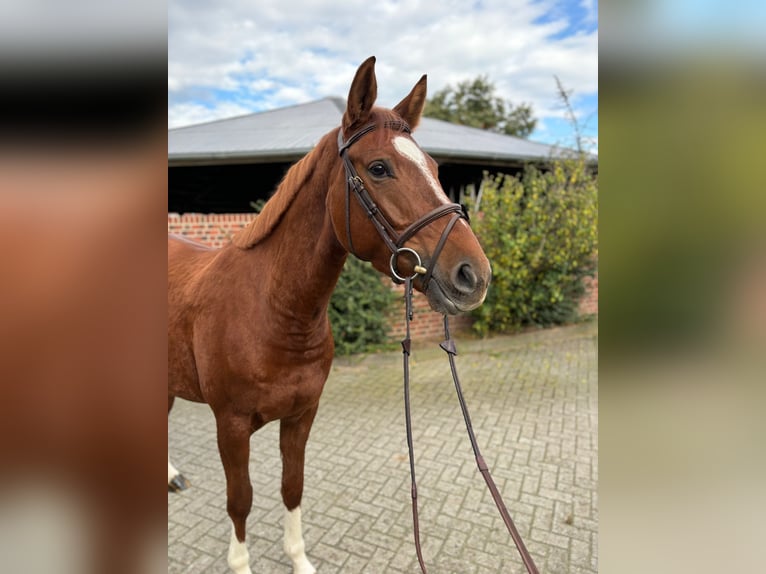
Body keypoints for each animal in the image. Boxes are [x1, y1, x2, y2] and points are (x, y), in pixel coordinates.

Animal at [168, 58, 492, 574]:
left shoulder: (302, 416)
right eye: (379, 168)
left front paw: (298, 558)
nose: (473, 276)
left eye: (436, 168)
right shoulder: (231, 426)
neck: (275, 313)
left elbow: (292, 487)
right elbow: (240, 500)